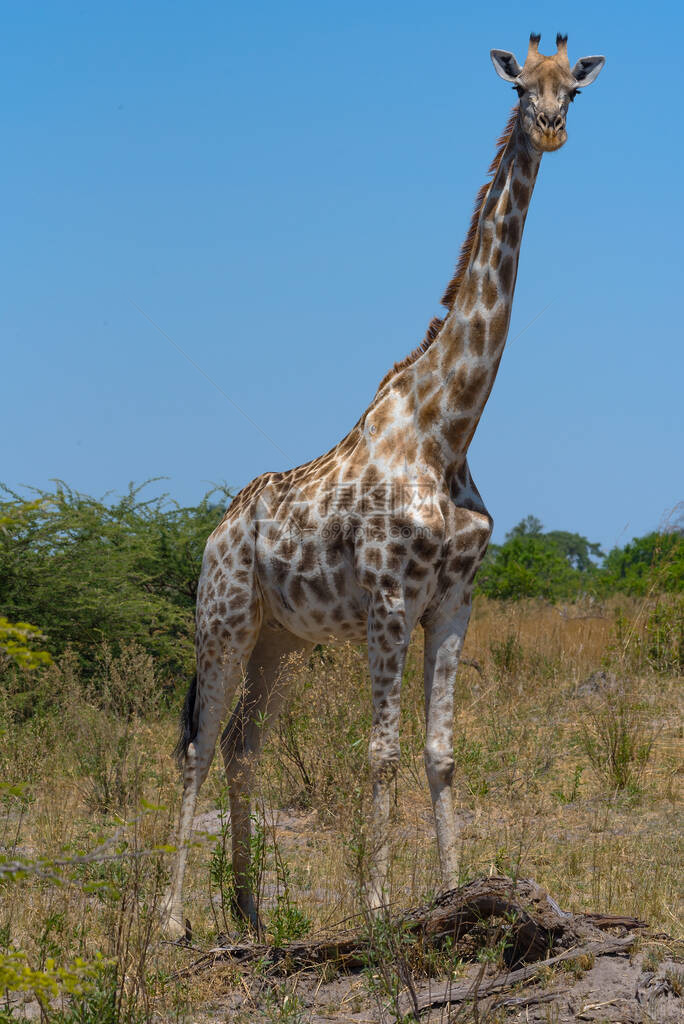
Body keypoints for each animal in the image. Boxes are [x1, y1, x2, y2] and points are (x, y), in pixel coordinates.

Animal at [162, 36, 606, 937]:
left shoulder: (455, 600)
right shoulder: (390, 599)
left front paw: (459, 890)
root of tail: (216, 533)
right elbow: (381, 752)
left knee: (244, 746)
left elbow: (441, 754)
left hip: (279, 638)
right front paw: (375, 907)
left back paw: (251, 913)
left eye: (573, 91)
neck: (448, 430)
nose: (549, 129)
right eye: (520, 86)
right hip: (222, 620)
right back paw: (173, 921)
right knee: (199, 743)